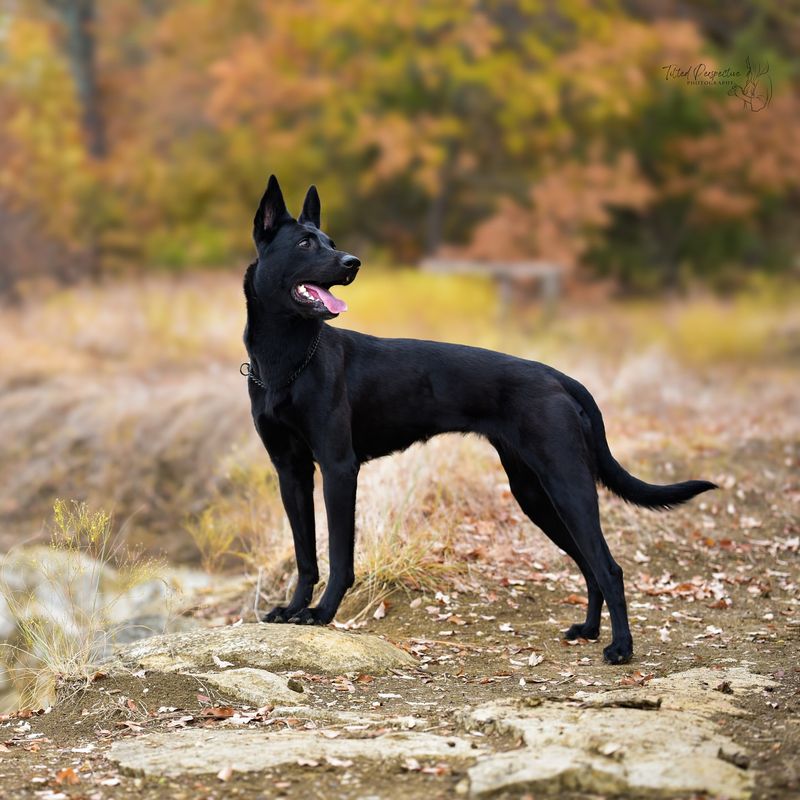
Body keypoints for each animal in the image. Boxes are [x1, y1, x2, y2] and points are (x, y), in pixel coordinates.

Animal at [242, 175, 712, 664]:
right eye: (304, 242)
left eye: (331, 243)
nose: (353, 263)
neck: (287, 361)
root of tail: (559, 378)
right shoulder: (291, 470)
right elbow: (305, 554)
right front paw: (292, 609)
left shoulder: (338, 468)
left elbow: (338, 555)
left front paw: (322, 613)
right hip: (535, 492)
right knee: (589, 563)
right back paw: (588, 629)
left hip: (567, 485)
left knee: (609, 567)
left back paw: (620, 647)